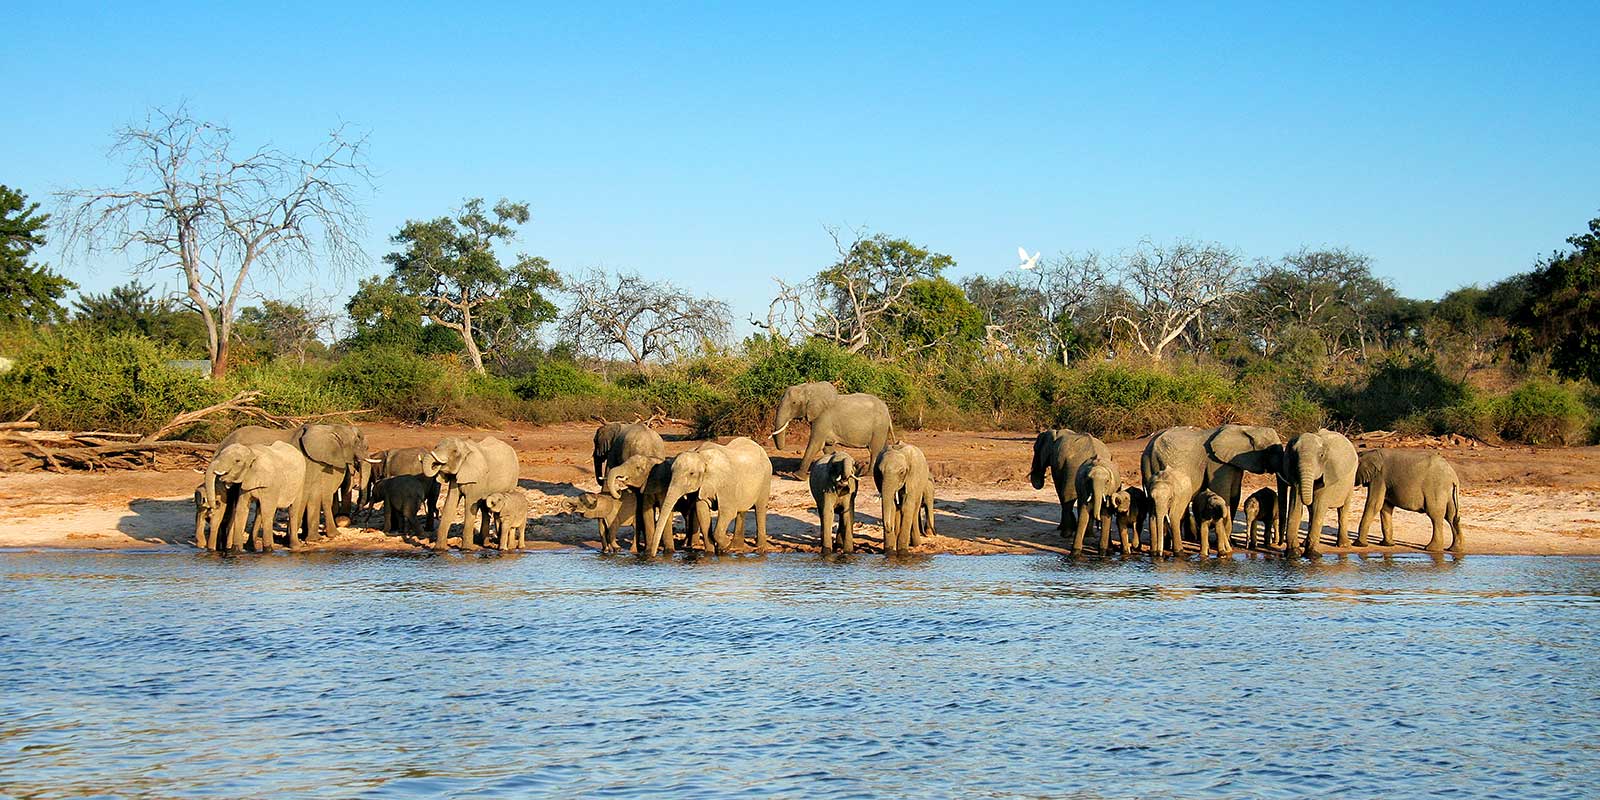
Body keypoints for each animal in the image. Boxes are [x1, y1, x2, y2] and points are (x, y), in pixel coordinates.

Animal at [1278, 429, 1359, 558]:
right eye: (1294, 455)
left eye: (1321, 455)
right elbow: (1295, 507)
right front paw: (1293, 554)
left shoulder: (1328, 474)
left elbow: (1318, 507)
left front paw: (1313, 555)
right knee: (1311, 511)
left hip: (1351, 480)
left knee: (1343, 509)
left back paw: (1344, 545)